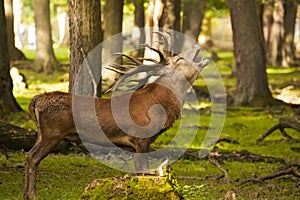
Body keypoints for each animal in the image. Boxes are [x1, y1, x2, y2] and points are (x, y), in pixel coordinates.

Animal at [23, 34, 209, 198]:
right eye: (179, 59)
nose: (196, 45)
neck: (159, 106)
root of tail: (36, 100)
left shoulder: (132, 144)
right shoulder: (141, 138)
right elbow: (144, 171)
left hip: (42, 133)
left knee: (28, 154)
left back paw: (25, 193)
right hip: (53, 133)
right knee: (33, 158)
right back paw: (32, 194)